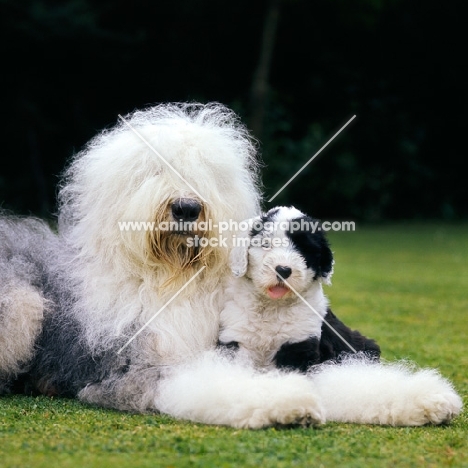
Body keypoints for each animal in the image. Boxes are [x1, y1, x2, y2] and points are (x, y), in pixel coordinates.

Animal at [219, 207, 380, 372]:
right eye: (265, 244)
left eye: (304, 249)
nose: (283, 270)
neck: (273, 306)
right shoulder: (237, 337)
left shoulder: (300, 342)